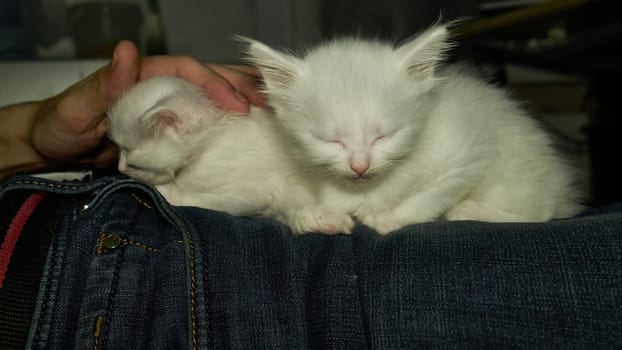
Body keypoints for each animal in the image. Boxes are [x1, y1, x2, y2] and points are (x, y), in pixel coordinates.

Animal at [108, 23, 584, 234]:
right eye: (328, 140)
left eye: (130, 151)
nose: (120, 168)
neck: (215, 138)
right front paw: (320, 217)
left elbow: (213, 199)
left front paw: (169, 194)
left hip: (513, 174)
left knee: (537, 210)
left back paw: (469, 210)